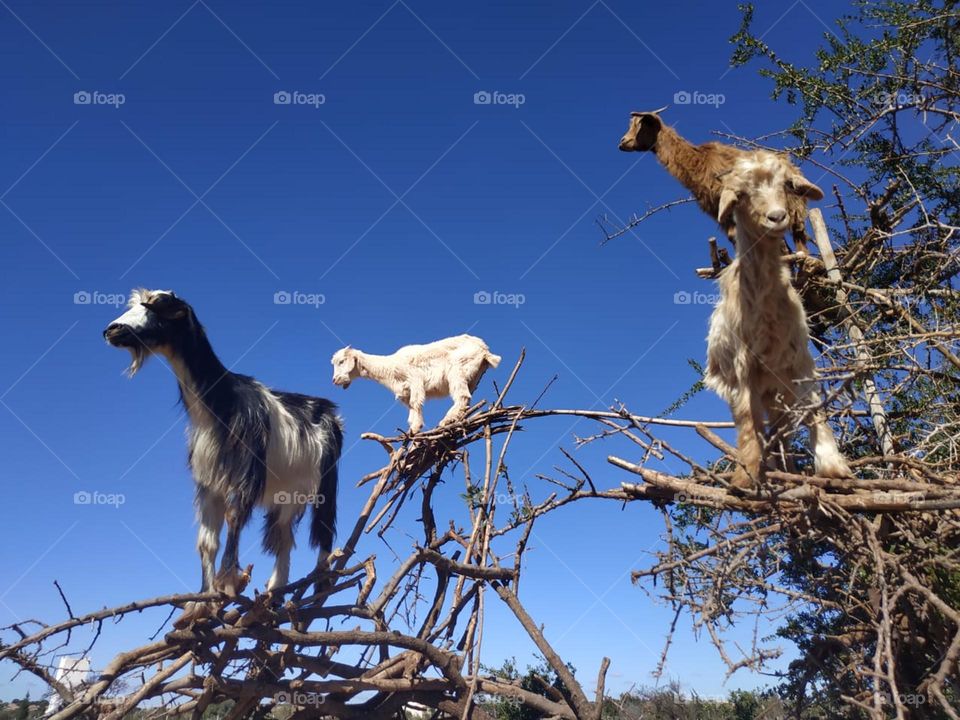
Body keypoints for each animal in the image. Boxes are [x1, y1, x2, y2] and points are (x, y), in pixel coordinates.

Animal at [103, 290, 344, 600]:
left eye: (158, 306)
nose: (112, 330)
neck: (222, 403)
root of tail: (330, 412)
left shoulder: (246, 473)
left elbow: (234, 516)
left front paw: (228, 581)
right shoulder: (208, 481)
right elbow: (206, 541)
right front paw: (203, 600)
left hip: (324, 480)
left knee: (323, 527)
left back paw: (321, 582)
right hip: (287, 492)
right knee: (283, 536)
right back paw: (275, 591)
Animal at [620, 107, 812, 253]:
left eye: (641, 124)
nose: (622, 142)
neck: (698, 161)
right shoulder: (717, 210)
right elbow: (734, 237)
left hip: (793, 208)